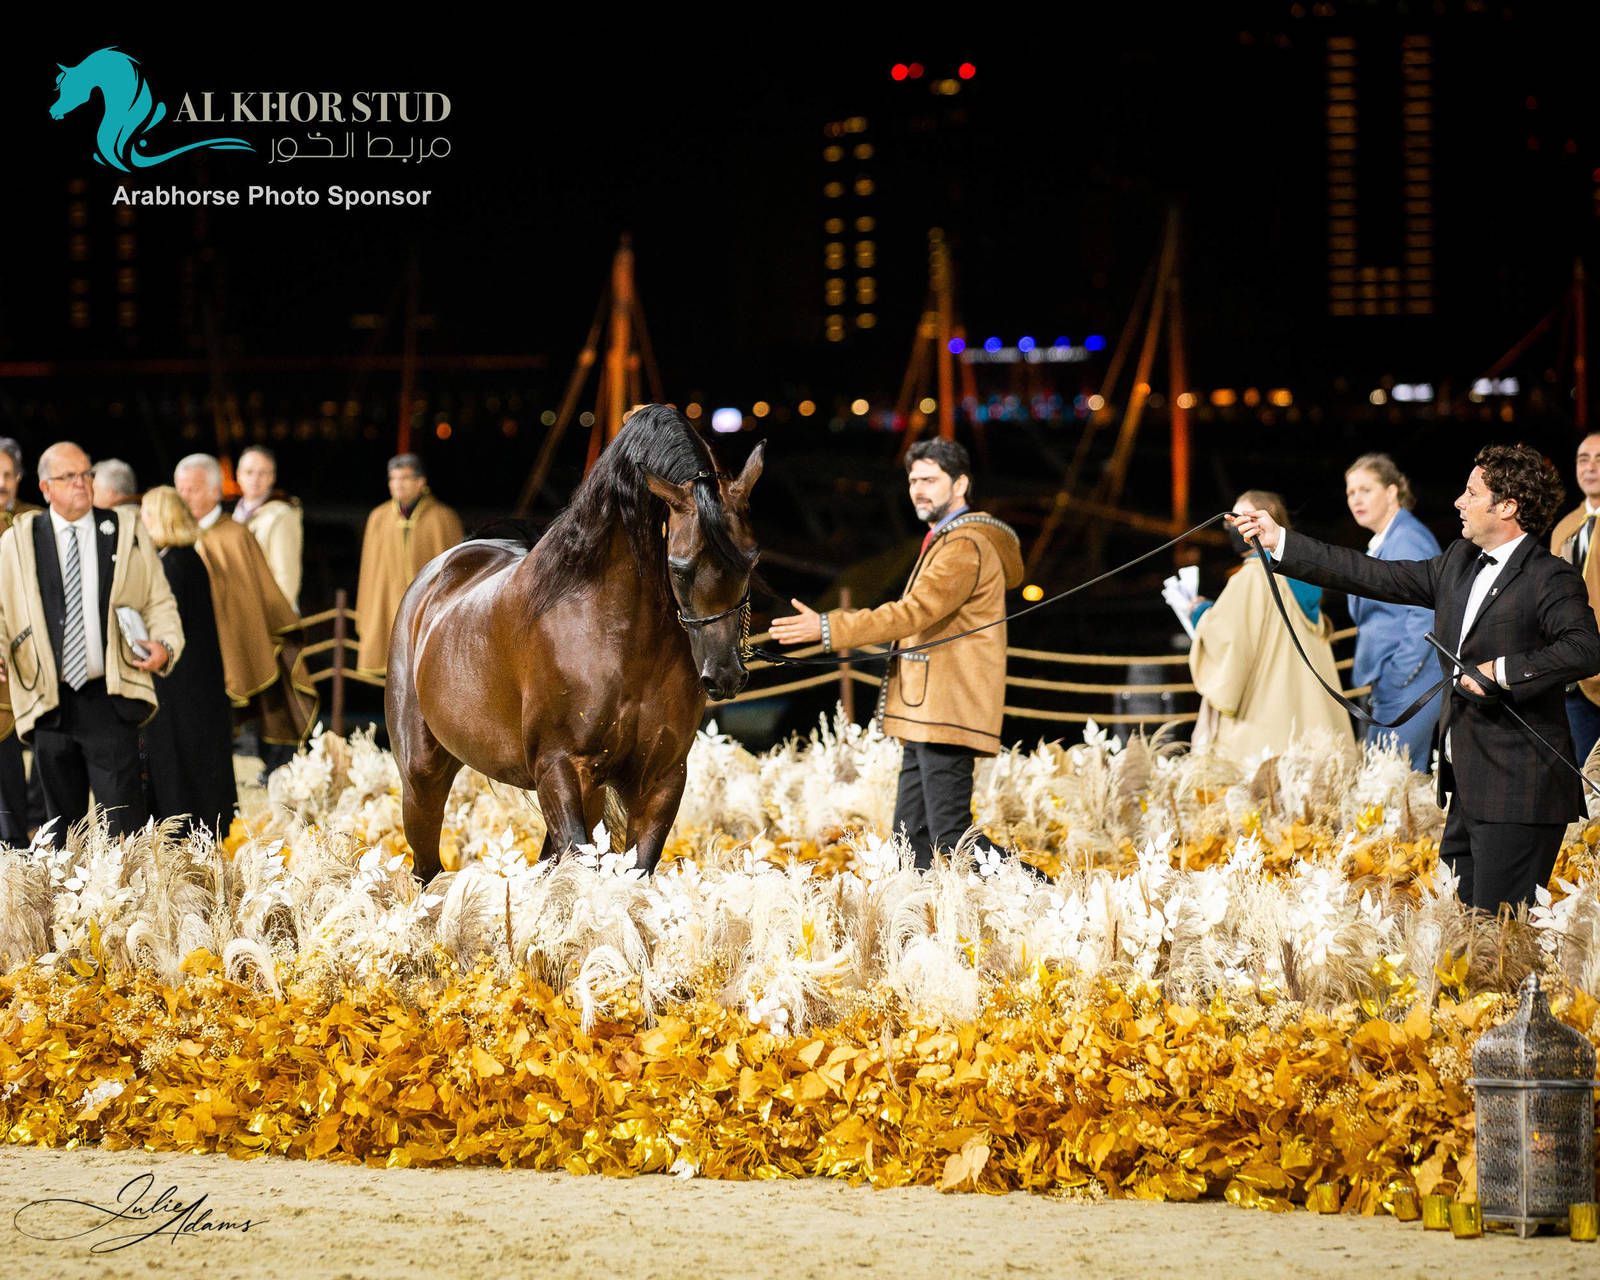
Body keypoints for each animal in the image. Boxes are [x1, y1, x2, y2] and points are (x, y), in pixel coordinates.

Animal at [386, 404, 763, 881]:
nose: (725, 675)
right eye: (680, 567)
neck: (621, 640)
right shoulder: (560, 768)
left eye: (752, 559)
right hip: (422, 776)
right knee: (427, 867)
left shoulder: (661, 777)